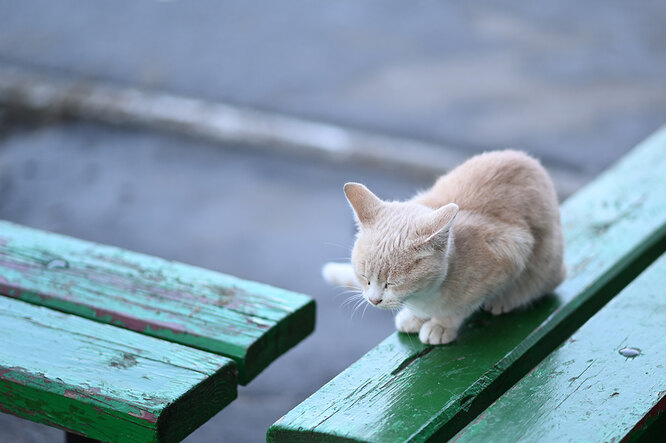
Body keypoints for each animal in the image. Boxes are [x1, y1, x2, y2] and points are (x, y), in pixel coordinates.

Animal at [322, 151, 564, 346]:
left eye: (393, 283)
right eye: (364, 277)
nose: (374, 300)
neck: (423, 296)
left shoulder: (510, 253)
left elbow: (461, 307)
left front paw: (441, 324)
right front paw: (414, 317)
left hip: (545, 266)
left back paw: (505, 301)